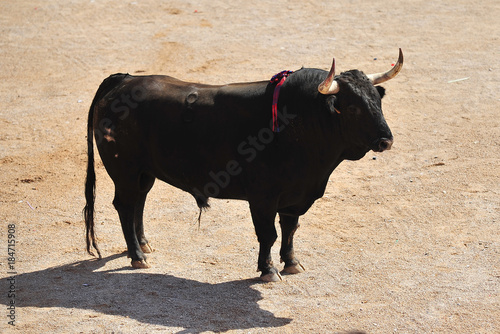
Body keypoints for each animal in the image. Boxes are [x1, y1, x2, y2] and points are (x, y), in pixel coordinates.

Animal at [82, 50, 402, 282]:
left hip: (144, 173)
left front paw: (292, 262)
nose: (386, 140)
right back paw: (137, 256)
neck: (300, 121)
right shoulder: (263, 198)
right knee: (125, 205)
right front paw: (268, 271)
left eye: (377, 102)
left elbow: (290, 229)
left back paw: (143, 245)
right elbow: (268, 234)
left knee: (139, 202)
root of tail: (124, 80)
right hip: (125, 171)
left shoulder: (295, 196)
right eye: (353, 107)